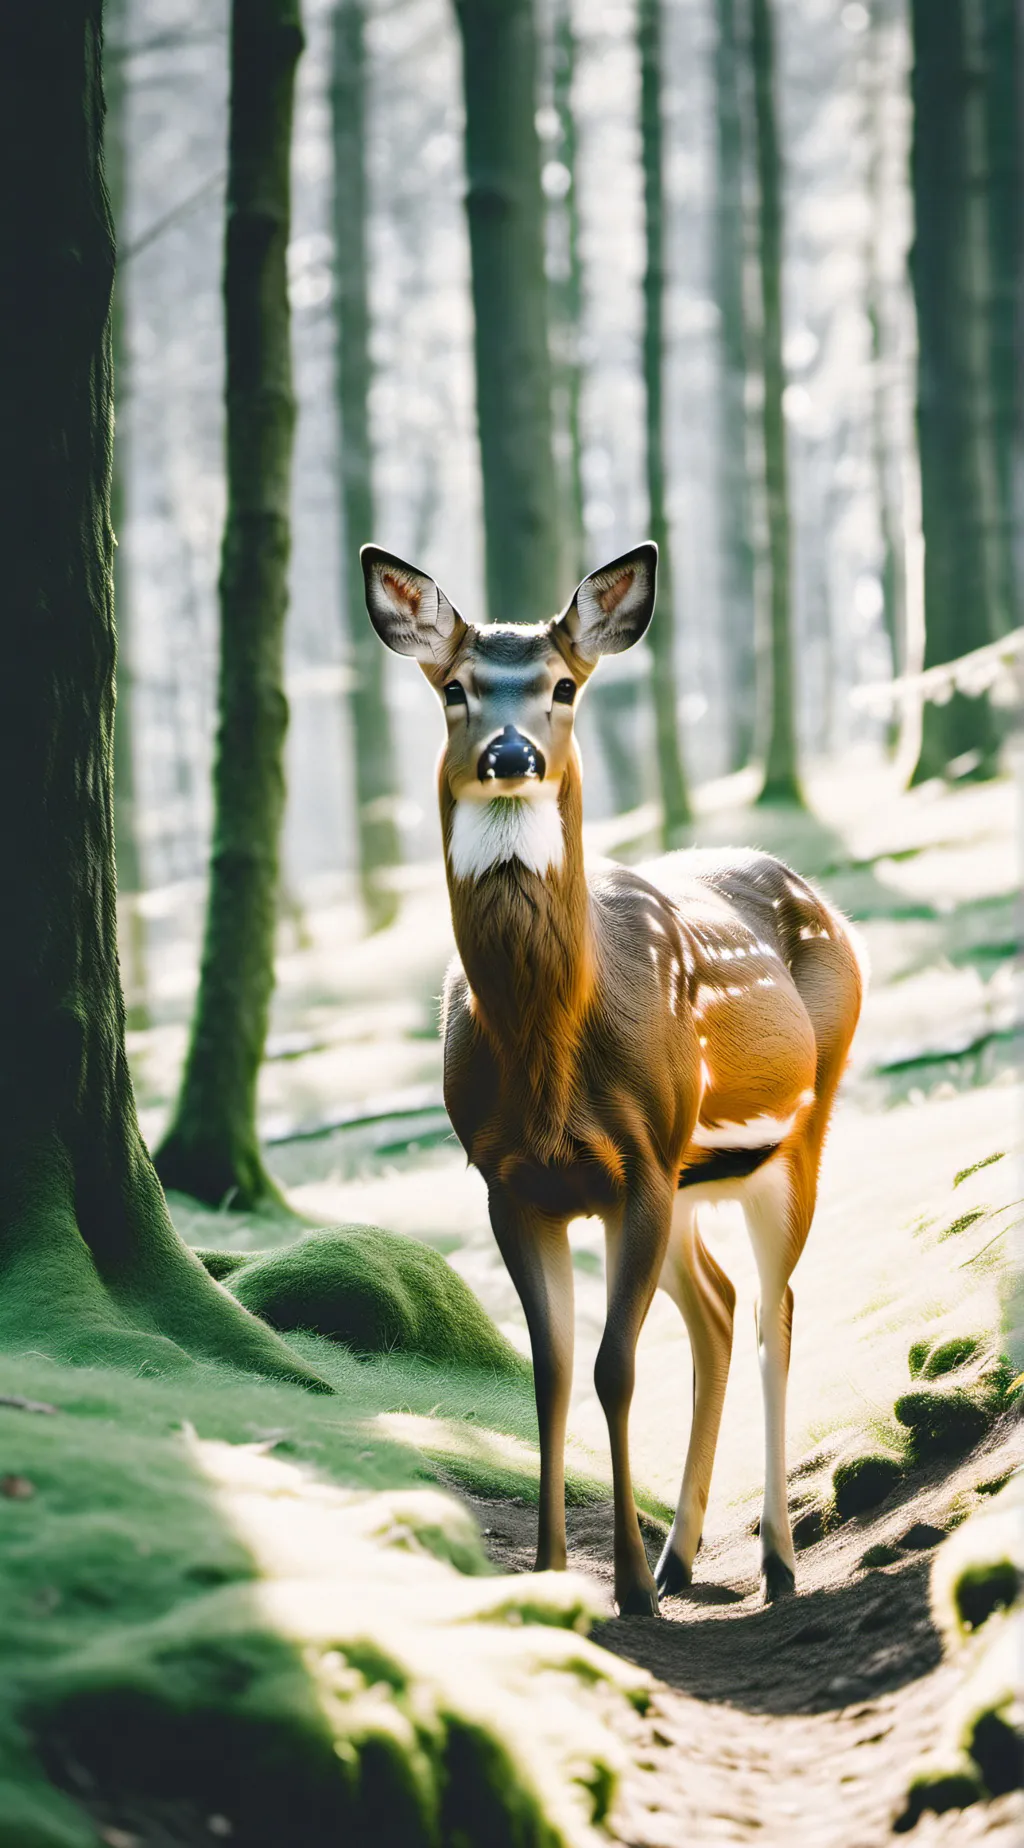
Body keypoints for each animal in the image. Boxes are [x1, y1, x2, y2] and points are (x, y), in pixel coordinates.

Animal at [362, 539, 865, 1617]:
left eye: (562, 685)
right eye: (455, 689)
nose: (512, 754)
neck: (552, 1061)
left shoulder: (637, 1165)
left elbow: (614, 1368)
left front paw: (627, 1589)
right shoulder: (511, 1180)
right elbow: (550, 1371)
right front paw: (558, 1574)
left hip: (795, 1130)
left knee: (775, 1310)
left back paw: (774, 1560)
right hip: (690, 1177)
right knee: (720, 1308)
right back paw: (685, 1555)